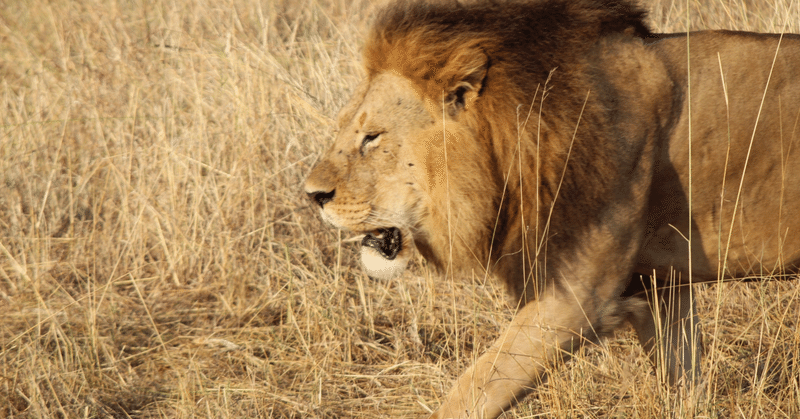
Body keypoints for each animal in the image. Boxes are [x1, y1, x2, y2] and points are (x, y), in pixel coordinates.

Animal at [302, 0, 800, 416]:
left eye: (372, 137)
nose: (312, 195)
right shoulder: (660, 285)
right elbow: (683, 375)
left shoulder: (578, 294)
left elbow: (473, 387)